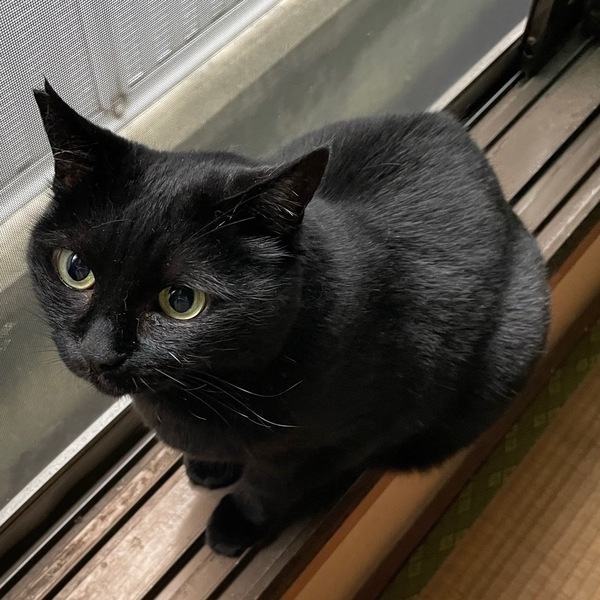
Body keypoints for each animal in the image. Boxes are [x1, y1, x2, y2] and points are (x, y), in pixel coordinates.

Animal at [29, 80, 549, 556]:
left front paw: (237, 523)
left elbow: (271, 484)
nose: (99, 353)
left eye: (181, 299)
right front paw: (211, 465)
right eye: (76, 269)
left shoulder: (339, 440)